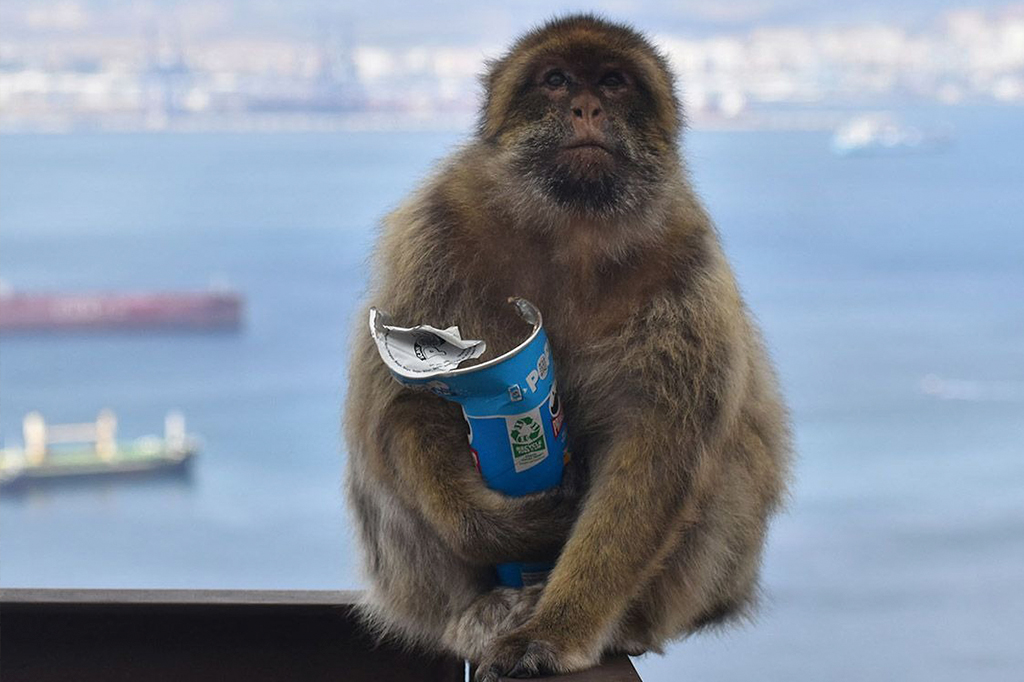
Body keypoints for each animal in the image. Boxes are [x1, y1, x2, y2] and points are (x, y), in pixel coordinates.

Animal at [343, 14, 792, 681]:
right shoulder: (435, 229)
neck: (572, 229)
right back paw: (481, 609)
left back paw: (617, 623)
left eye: (613, 81)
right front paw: (505, 528)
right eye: (556, 80)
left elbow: (657, 447)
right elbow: (407, 404)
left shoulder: (687, 263)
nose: (586, 107)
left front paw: (556, 631)